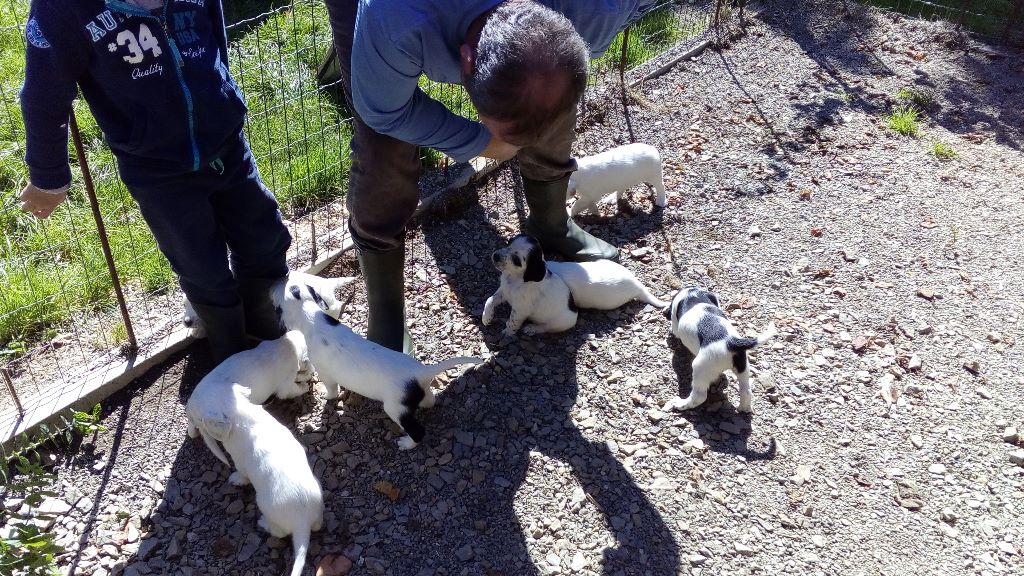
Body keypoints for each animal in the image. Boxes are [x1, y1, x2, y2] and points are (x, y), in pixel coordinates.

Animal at [186, 327, 309, 461]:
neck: (284, 345)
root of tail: (193, 410)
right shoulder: (285, 387)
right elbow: (296, 387)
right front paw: (306, 384)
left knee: (191, 430)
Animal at [205, 381, 321, 573]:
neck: (244, 415)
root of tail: (302, 521)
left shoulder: (239, 461)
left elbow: (241, 474)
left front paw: (235, 479)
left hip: (265, 506)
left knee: (280, 533)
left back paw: (263, 523)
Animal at [276, 282, 483, 448]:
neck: (313, 319)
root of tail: (421, 371)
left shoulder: (326, 373)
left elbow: (332, 390)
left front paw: (326, 396)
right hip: (417, 395)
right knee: (429, 401)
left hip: (395, 408)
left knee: (418, 431)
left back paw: (407, 444)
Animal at [483, 230, 667, 334]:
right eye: (508, 242)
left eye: (516, 259)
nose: (495, 256)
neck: (515, 279)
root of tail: (637, 283)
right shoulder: (503, 292)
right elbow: (489, 300)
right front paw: (487, 318)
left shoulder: (521, 309)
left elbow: (512, 321)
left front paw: (507, 333)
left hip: (562, 321)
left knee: (548, 328)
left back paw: (533, 329)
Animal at [663, 284, 774, 412]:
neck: (692, 293)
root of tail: (731, 342)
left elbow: (674, 327)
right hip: (743, 367)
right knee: (746, 391)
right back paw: (743, 409)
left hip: (699, 367)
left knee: (699, 397)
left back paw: (680, 404)